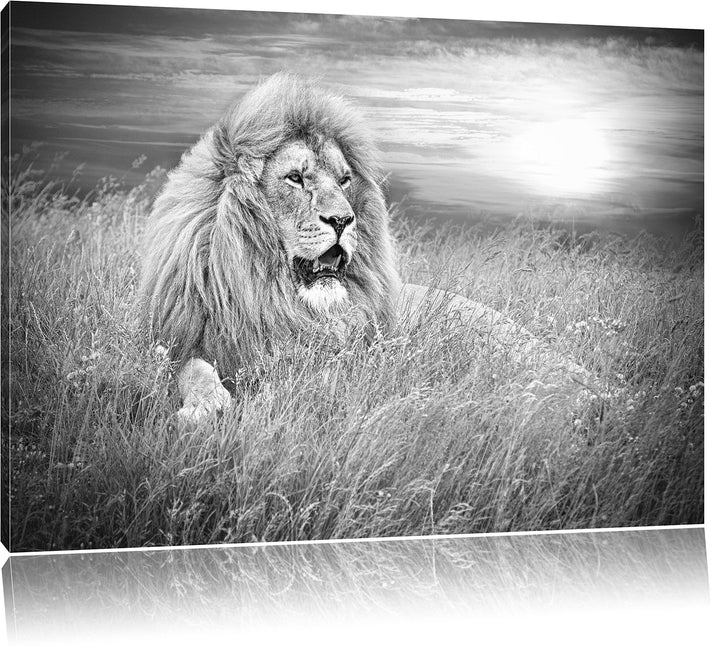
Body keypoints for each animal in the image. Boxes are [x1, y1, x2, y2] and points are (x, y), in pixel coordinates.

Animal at [140, 73, 588, 422]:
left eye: (344, 180)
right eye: (295, 178)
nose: (342, 220)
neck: (265, 292)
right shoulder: (181, 343)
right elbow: (192, 370)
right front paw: (205, 407)